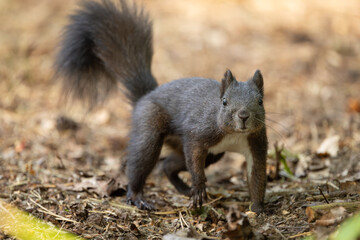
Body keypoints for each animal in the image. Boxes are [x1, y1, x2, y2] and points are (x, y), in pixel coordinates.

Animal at [55, 0, 268, 214]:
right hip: (150, 127)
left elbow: (257, 176)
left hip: (211, 153)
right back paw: (138, 197)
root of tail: (146, 95)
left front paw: (258, 209)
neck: (234, 134)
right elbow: (194, 158)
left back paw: (183, 188)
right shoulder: (198, 133)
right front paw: (199, 187)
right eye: (224, 101)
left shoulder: (255, 143)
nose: (243, 115)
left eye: (260, 101)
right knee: (142, 162)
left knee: (168, 165)